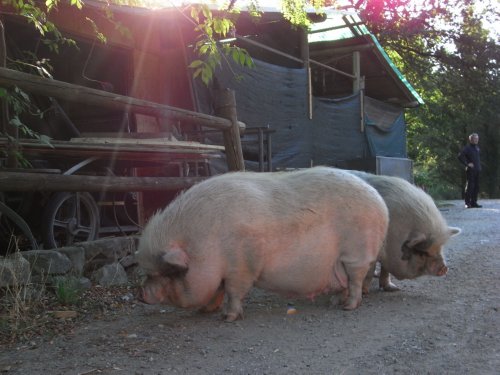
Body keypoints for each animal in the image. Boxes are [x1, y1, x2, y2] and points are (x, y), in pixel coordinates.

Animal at [135, 169, 388, 322]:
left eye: (166, 273)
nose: (140, 293)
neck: (203, 244)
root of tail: (380, 202)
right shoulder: (222, 272)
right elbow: (217, 290)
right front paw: (204, 311)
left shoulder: (241, 267)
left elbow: (233, 292)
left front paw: (227, 318)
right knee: (345, 282)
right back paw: (335, 303)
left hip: (356, 254)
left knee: (356, 281)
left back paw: (348, 307)